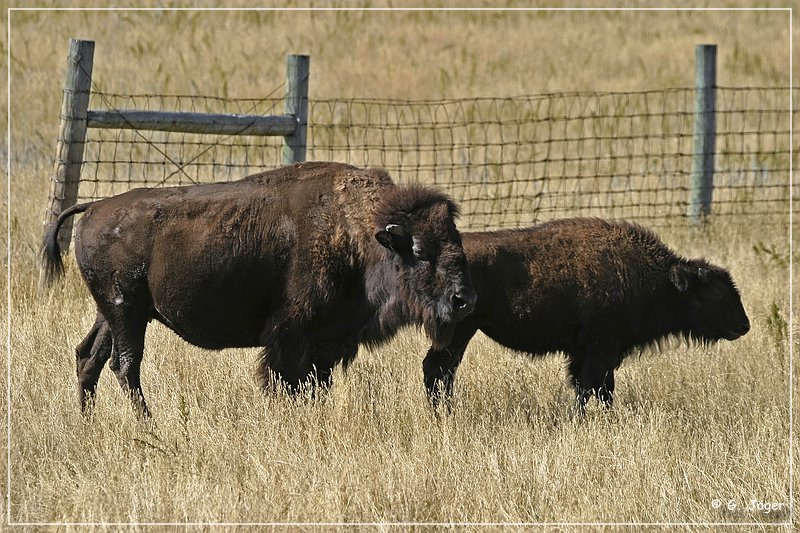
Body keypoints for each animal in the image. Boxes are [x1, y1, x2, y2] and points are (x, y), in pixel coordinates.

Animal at [42, 162, 476, 416]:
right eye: (419, 250)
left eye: (455, 238)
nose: (463, 299)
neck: (358, 232)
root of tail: (94, 207)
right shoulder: (291, 336)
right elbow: (285, 381)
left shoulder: (326, 342)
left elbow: (316, 384)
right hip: (127, 310)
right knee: (125, 365)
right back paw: (148, 423)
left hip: (114, 312)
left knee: (90, 357)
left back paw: (87, 421)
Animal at [424, 218, 752, 410]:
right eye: (716, 293)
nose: (744, 326)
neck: (659, 278)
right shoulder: (600, 349)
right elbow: (591, 386)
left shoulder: (588, 352)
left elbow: (596, 387)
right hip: (460, 331)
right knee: (439, 369)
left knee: (439, 371)